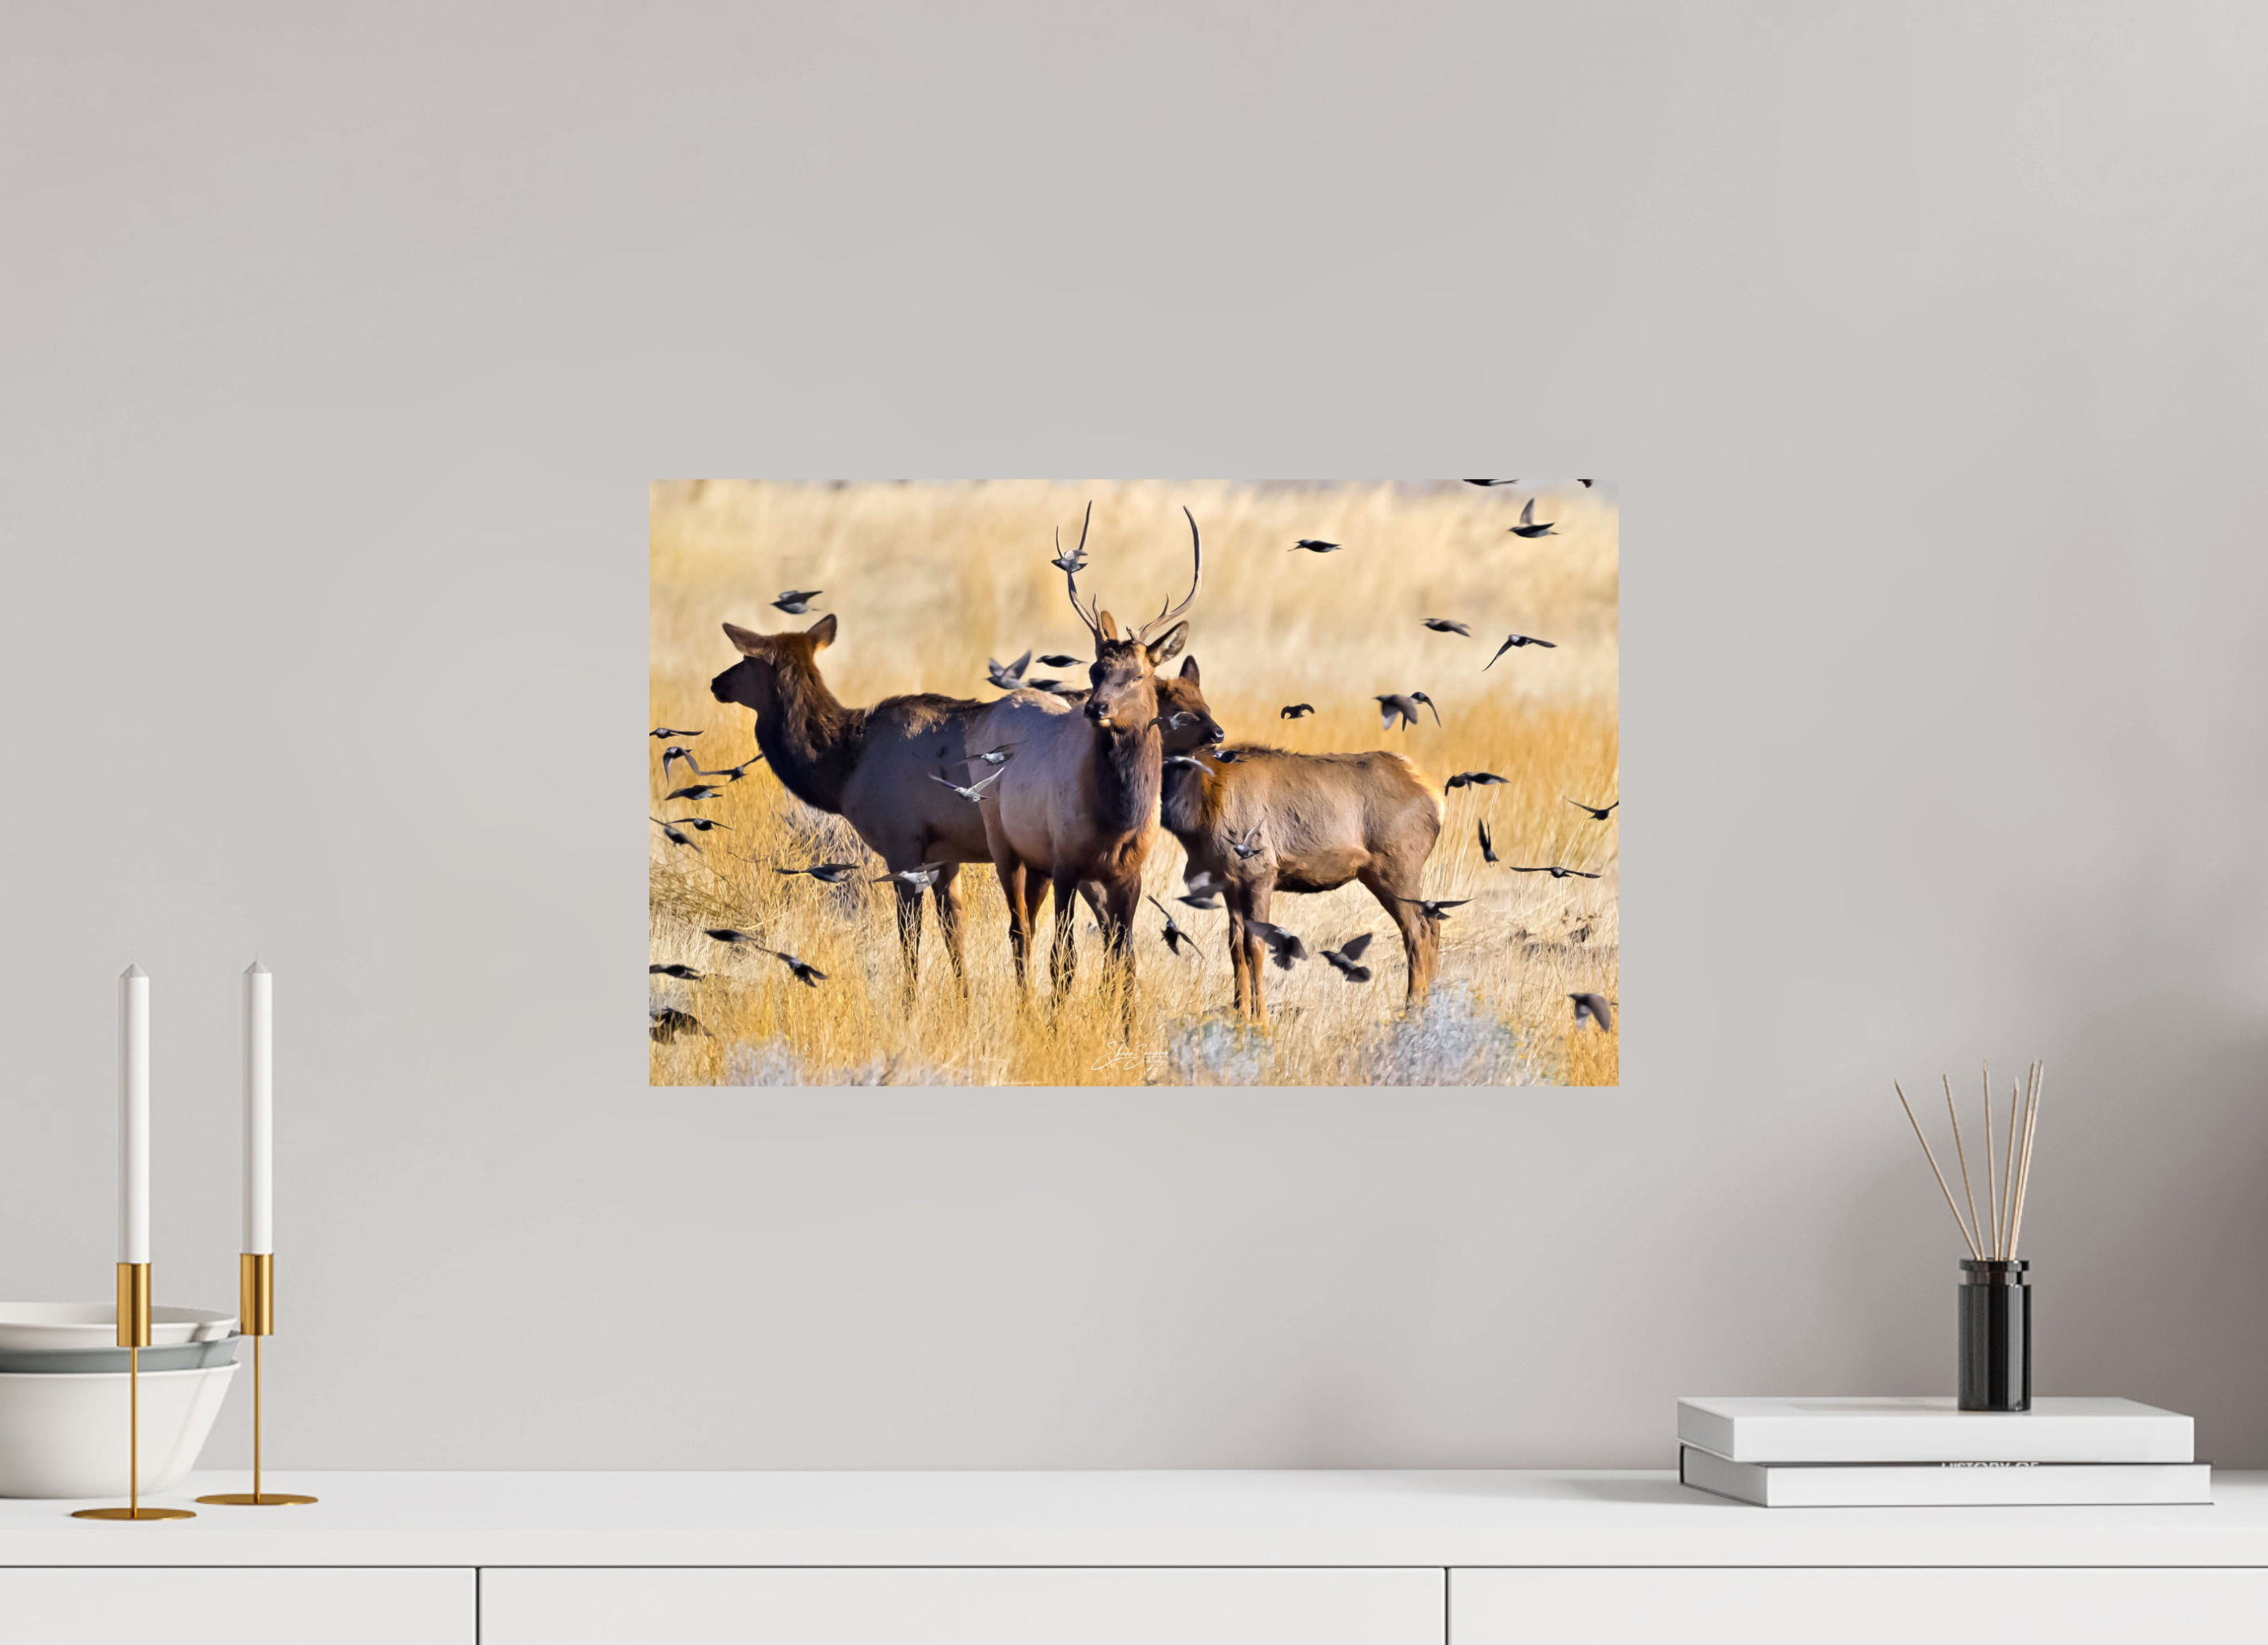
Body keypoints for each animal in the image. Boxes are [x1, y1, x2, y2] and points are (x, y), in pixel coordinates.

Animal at [709, 613, 997, 990]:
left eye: (745, 659)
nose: (716, 682)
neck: (844, 768)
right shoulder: (946, 852)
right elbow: (955, 933)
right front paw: (963, 1002)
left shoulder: (902, 843)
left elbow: (910, 936)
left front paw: (909, 1001)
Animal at [975, 505, 1203, 1010]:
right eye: (1095, 669)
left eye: (1137, 675)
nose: (1095, 707)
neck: (1117, 817)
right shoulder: (1067, 862)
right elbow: (1065, 960)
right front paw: (1056, 1020)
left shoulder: (1128, 874)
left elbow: (1125, 959)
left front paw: (1126, 1022)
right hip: (1005, 844)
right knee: (1020, 930)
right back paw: (1026, 1008)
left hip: (1038, 863)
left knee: (1030, 927)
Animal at [1159, 744, 1443, 1022]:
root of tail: (1436, 798)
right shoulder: (1230, 884)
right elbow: (1236, 946)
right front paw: (1240, 1014)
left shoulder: (1259, 875)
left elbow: (1255, 945)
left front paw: (1260, 1020)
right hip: (1377, 875)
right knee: (1432, 924)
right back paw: (1429, 1002)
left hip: (1396, 871)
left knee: (1417, 931)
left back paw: (1413, 1007)